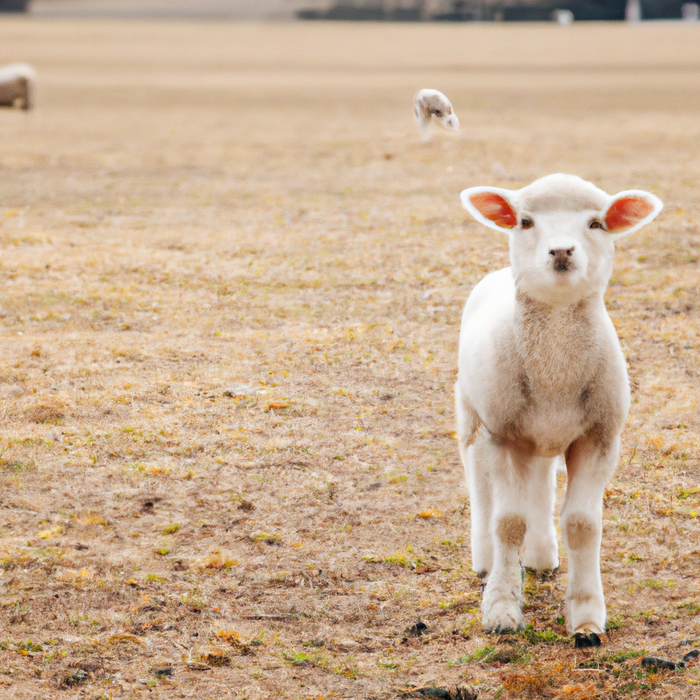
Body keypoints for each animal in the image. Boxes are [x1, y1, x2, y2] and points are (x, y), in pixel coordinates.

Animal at [456, 172, 664, 636]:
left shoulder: (600, 438)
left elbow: (583, 524)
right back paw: (486, 563)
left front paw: (586, 617)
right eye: (525, 222)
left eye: (597, 224)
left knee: (540, 480)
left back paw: (540, 557)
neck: (555, 374)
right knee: (479, 482)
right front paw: (501, 607)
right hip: (473, 414)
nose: (562, 251)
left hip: (541, 436)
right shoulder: (503, 434)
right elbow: (508, 522)